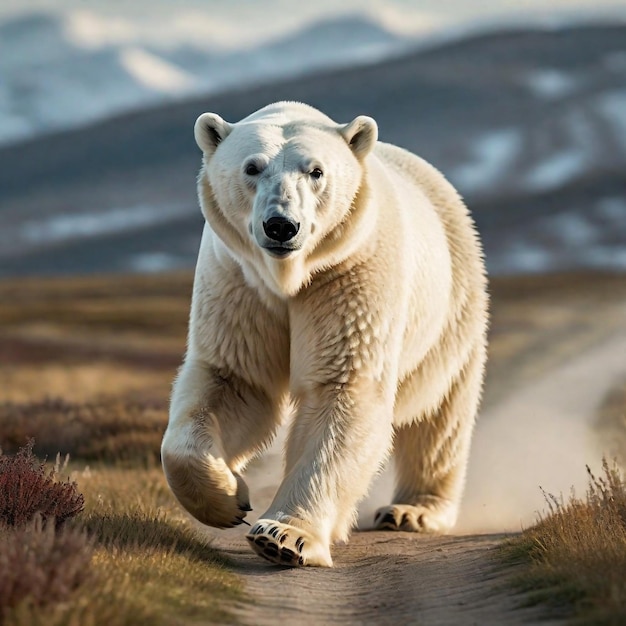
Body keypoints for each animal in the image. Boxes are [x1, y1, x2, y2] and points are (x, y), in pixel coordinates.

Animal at [161, 101, 488, 564]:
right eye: (252, 167)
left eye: (315, 171)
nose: (282, 225)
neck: (288, 278)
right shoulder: (240, 280)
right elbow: (234, 382)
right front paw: (228, 497)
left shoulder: (349, 273)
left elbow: (342, 389)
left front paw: (283, 537)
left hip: (453, 305)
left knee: (440, 413)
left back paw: (412, 510)